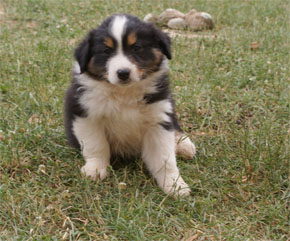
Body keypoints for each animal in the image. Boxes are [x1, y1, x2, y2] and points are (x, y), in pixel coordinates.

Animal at [63, 14, 196, 197]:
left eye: (137, 47)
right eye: (106, 51)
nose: (123, 73)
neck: (124, 94)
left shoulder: (158, 118)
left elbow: (164, 159)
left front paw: (175, 185)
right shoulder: (85, 114)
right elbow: (96, 145)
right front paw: (95, 169)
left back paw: (184, 145)